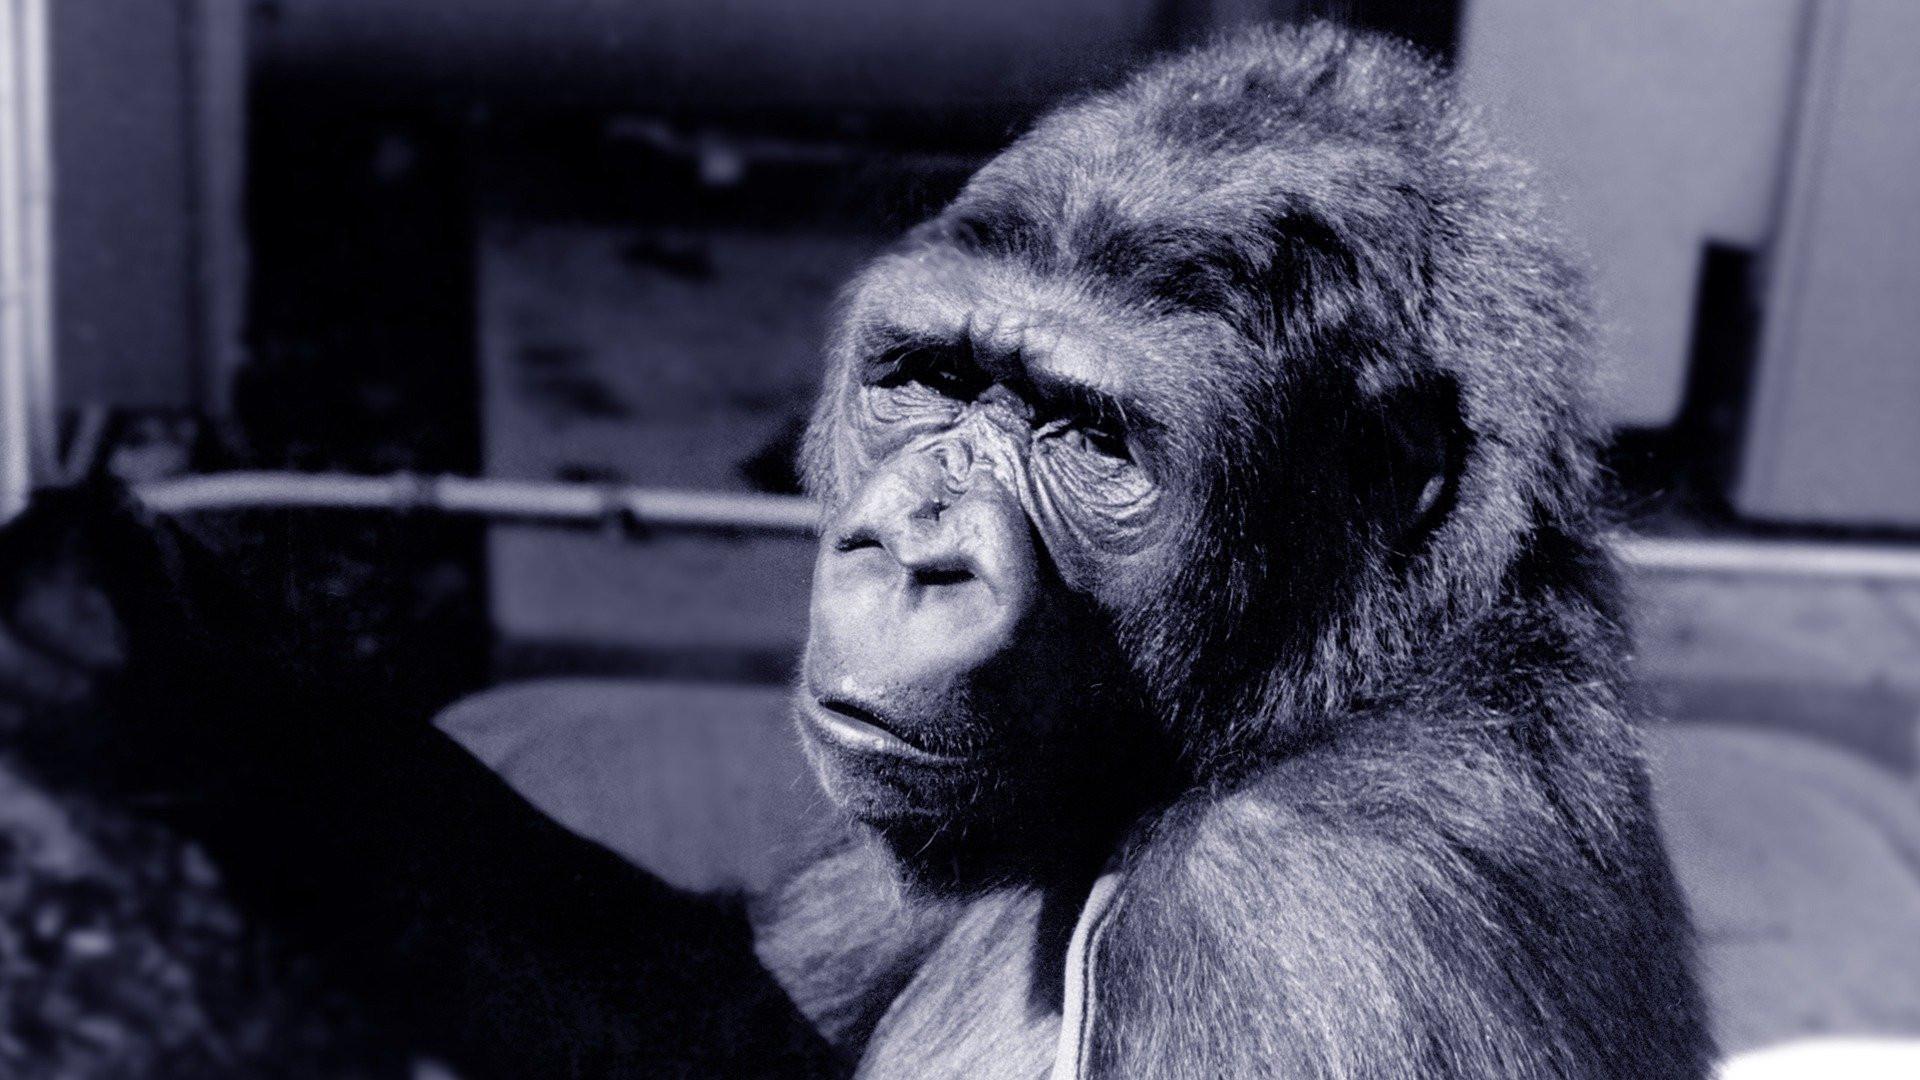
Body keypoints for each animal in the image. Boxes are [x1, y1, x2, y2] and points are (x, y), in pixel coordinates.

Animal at [0, 22, 1712, 1079]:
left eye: (1092, 439)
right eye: (932, 380)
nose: (912, 550)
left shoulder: (1310, 928)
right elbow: (709, 1012)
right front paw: (172, 674)